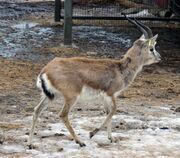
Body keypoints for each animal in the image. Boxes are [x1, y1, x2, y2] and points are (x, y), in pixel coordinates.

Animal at [27, 16, 160, 148]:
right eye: (151, 48)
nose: (159, 57)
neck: (120, 69)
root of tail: (45, 70)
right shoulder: (110, 94)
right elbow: (113, 110)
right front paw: (92, 133)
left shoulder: (104, 97)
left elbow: (108, 113)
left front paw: (111, 138)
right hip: (71, 97)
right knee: (62, 115)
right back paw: (80, 142)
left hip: (50, 96)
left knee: (36, 111)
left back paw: (30, 144)